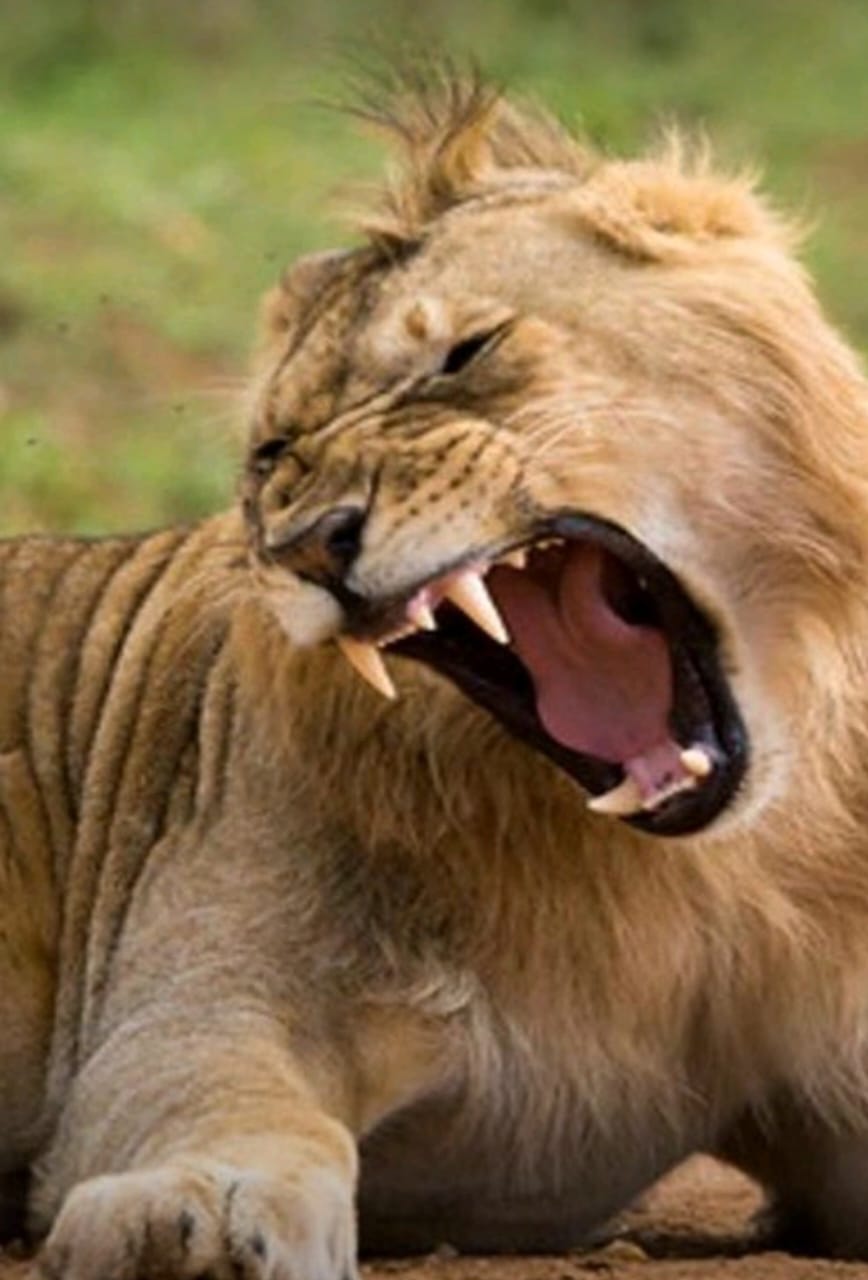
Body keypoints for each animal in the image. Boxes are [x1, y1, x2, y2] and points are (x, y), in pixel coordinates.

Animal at [3, 71, 868, 1278]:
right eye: (275, 456)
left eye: (462, 355)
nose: (311, 543)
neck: (684, 887)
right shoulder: (201, 1000)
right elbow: (229, 1105)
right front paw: (200, 1214)